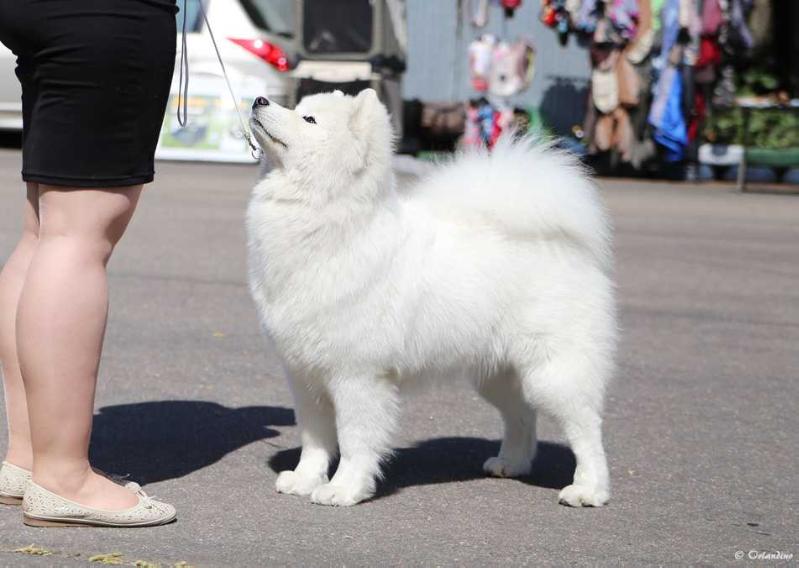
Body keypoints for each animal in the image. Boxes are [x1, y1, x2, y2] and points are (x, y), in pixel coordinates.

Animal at [248, 91, 620, 508]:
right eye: (296, 108)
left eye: (308, 119)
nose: (259, 99)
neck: (328, 222)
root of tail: (564, 245)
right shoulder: (304, 375)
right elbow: (314, 438)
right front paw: (304, 480)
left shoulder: (357, 376)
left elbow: (355, 439)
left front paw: (344, 489)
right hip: (497, 373)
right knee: (522, 415)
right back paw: (511, 463)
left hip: (552, 372)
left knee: (586, 427)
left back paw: (589, 489)